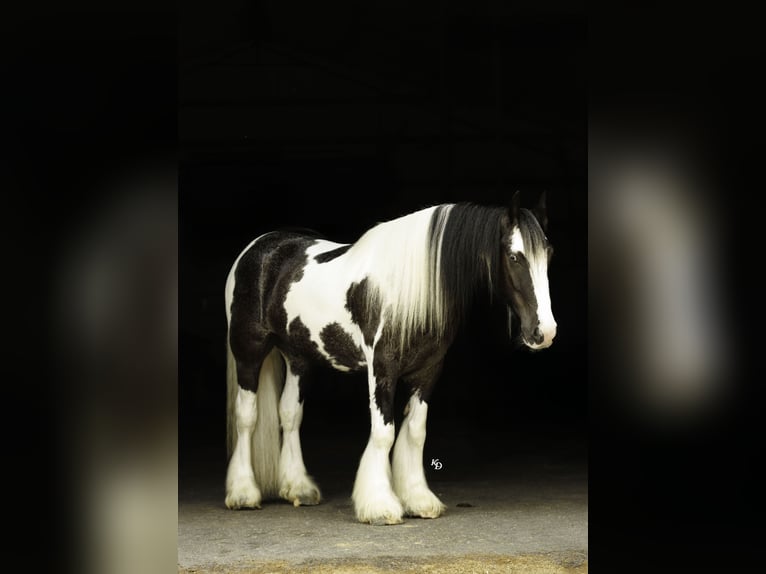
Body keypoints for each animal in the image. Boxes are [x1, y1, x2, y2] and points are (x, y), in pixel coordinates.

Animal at [223, 191, 557, 525]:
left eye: (549, 254)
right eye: (514, 256)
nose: (544, 331)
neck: (408, 291)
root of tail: (260, 246)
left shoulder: (428, 371)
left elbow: (415, 433)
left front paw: (419, 500)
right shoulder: (382, 369)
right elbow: (384, 433)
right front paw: (380, 506)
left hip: (298, 358)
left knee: (290, 414)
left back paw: (299, 489)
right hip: (248, 352)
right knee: (246, 417)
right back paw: (243, 493)